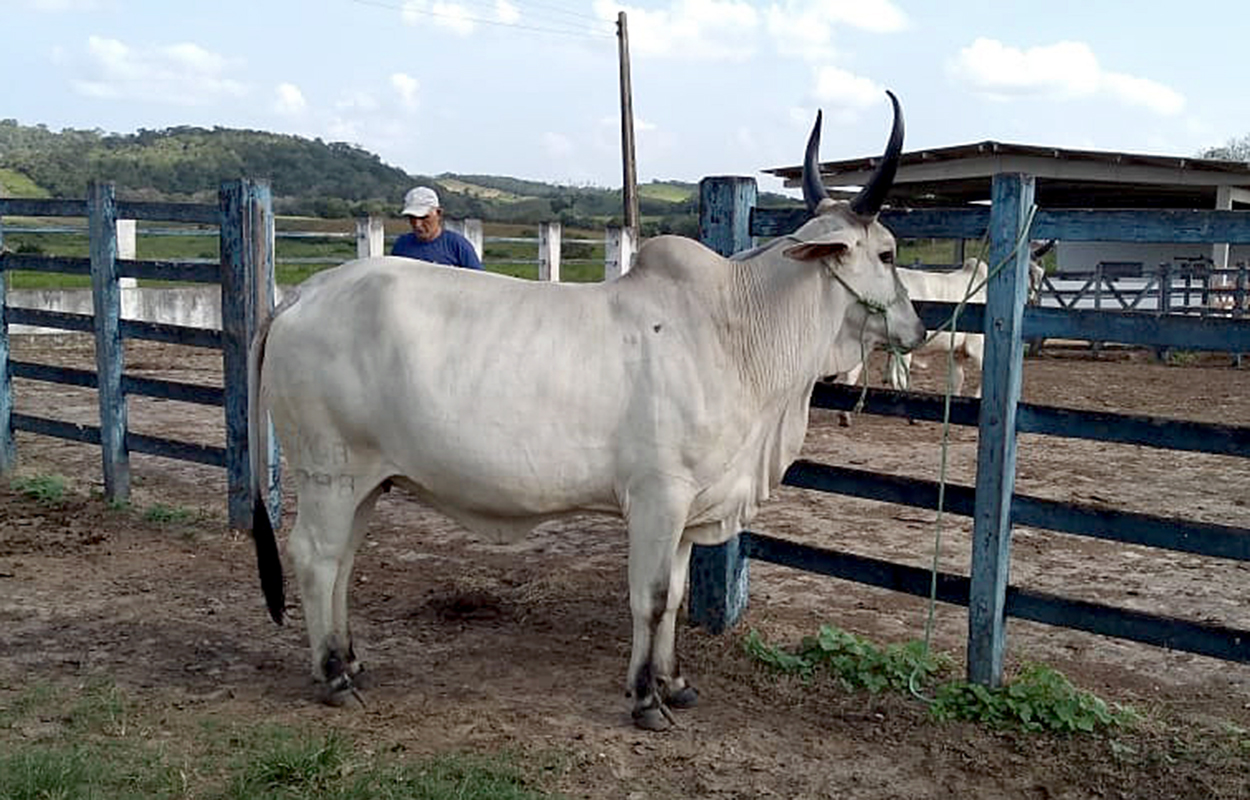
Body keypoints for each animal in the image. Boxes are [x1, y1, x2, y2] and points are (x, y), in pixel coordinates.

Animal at [246, 90, 930, 730]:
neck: (737, 328)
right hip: (330, 473)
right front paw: (646, 698)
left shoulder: (689, 511)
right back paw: (334, 677)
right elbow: (650, 597)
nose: (917, 328)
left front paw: (675, 682)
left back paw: (350, 658)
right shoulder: (659, 498)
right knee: (316, 557)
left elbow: (675, 597)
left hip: (367, 481)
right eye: (889, 253)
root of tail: (302, 294)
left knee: (342, 561)